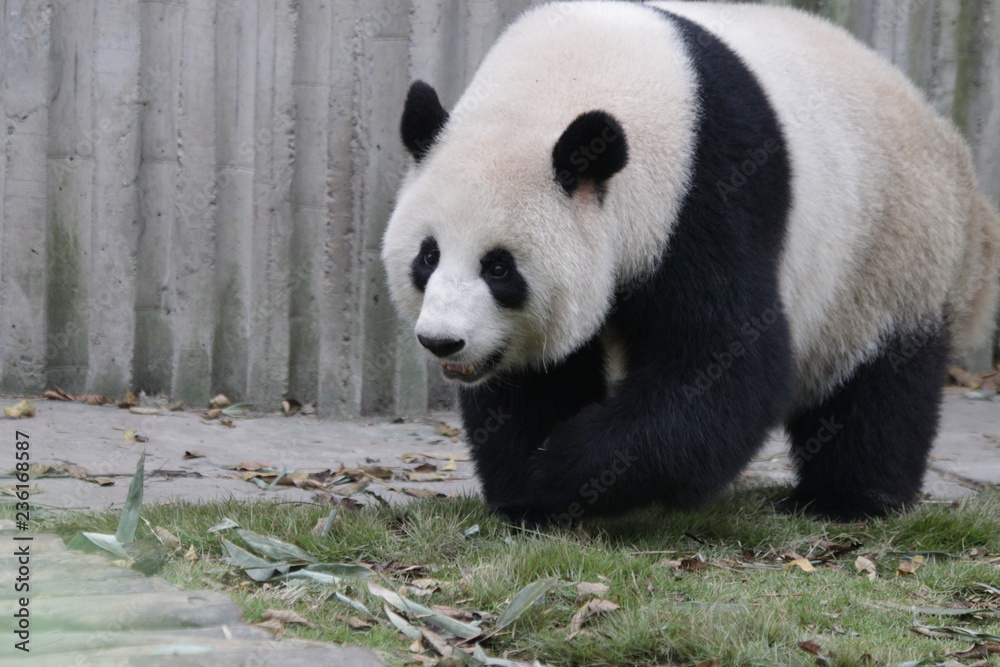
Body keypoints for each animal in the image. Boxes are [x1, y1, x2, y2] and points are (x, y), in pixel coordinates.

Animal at [381, 1, 1000, 524]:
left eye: (499, 268)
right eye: (428, 256)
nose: (443, 342)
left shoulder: (709, 187)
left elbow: (723, 361)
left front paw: (565, 469)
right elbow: (535, 378)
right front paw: (526, 489)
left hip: (890, 250)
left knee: (878, 387)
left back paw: (847, 500)